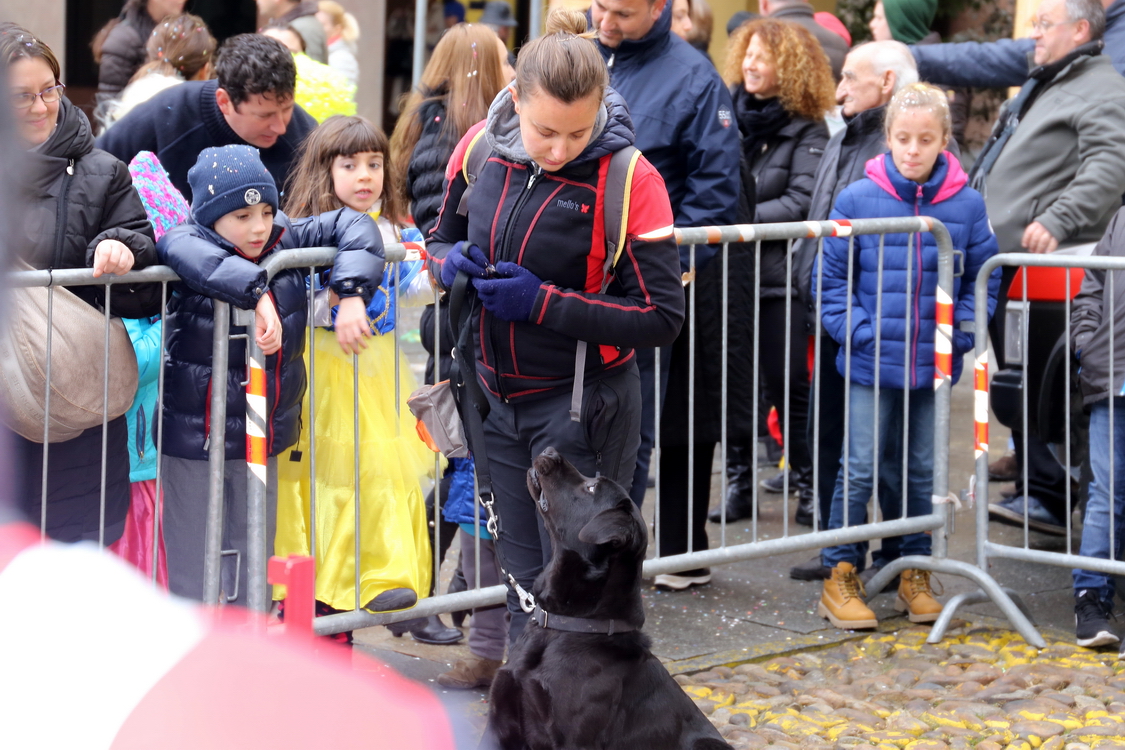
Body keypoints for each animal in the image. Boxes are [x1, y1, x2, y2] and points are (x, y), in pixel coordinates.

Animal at [481, 449, 729, 750]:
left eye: (591, 488)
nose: (550, 451)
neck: (567, 624)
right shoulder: (498, 724)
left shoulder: (573, 741)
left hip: (706, 744)